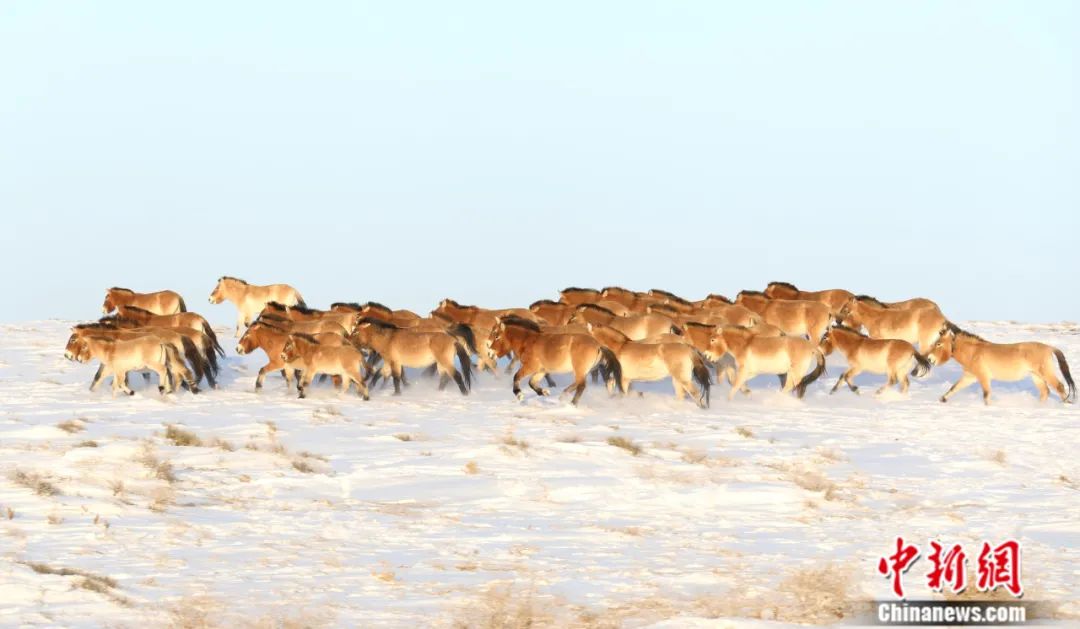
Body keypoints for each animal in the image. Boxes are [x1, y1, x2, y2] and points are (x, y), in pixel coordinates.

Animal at [488, 317, 622, 406]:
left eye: (496, 336)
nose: (489, 353)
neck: (528, 341)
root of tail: (598, 345)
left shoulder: (530, 367)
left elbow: (516, 377)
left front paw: (519, 394)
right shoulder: (541, 370)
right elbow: (532, 382)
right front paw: (544, 392)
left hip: (579, 369)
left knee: (581, 385)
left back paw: (572, 404)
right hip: (583, 370)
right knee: (579, 383)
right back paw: (563, 396)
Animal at [924, 322, 1075, 406]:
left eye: (938, 344)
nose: (930, 359)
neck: (974, 352)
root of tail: (1049, 348)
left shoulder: (983, 377)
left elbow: (986, 395)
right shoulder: (969, 377)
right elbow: (954, 388)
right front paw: (943, 399)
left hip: (1045, 373)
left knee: (1059, 387)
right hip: (1036, 376)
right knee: (1045, 392)